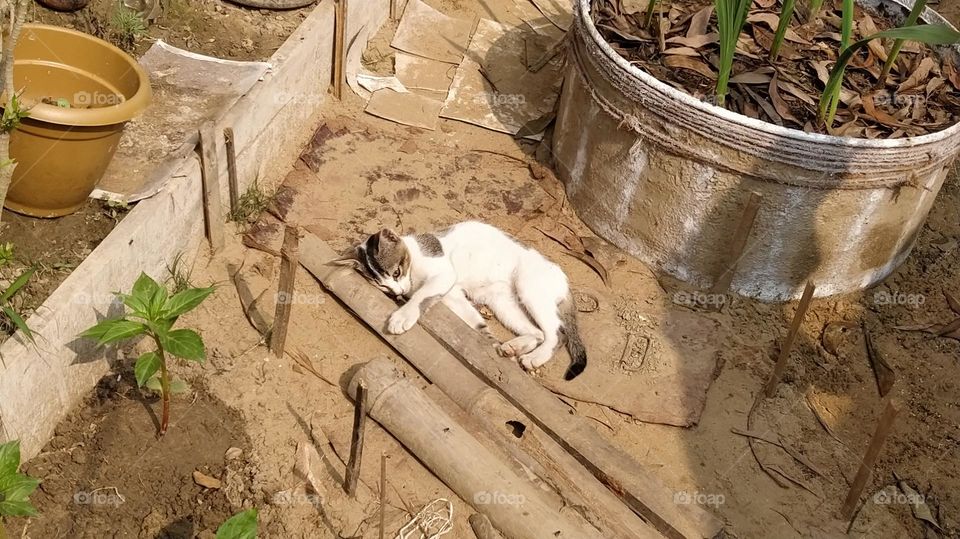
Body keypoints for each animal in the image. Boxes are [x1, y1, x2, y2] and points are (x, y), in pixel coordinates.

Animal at [344, 219, 584, 380]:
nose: (396, 293)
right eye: (382, 286)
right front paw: (490, 343)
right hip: (502, 303)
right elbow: (477, 325)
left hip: (529, 289)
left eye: (396, 272)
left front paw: (403, 316)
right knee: (536, 332)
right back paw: (513, 348)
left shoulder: (444, 274)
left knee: (557, 333)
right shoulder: (452, 297)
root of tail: (563, 277)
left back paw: (536, 357)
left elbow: (421, 295)